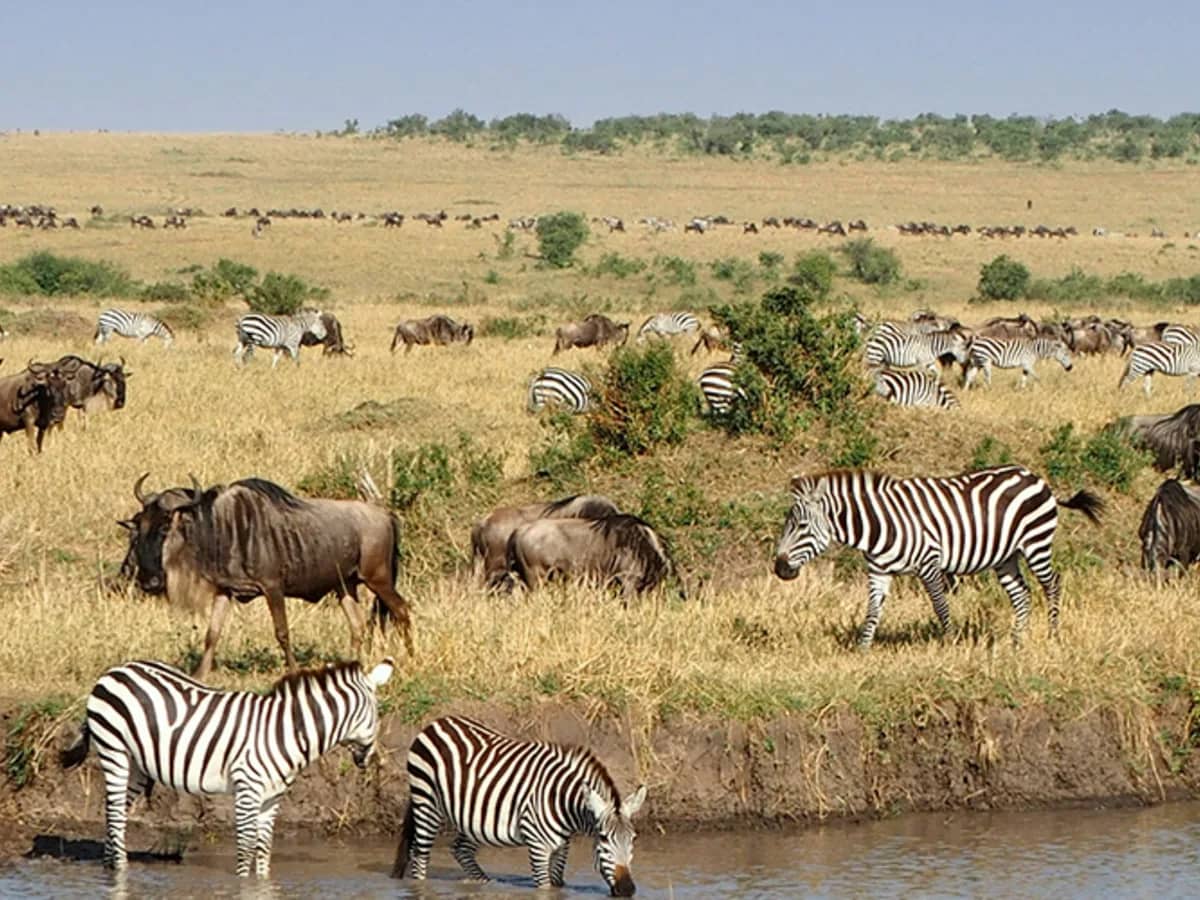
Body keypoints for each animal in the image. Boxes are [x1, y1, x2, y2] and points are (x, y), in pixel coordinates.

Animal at [59, 658, 394, 876]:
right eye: (377, 713)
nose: (370, 759)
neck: (285, 732)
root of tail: (115, 670)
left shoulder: (272, 797)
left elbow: (263, 849)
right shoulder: (248, 789)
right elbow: (245, 848)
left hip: (137, 765)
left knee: (115, 815)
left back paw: (112, 865)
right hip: (114, 750)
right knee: (115, 814)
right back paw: (121, 872)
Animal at [391, 715, 647, 896]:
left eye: (633, 839)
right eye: (603, 839)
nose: (627, 890)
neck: (563, 802)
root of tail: (436, 723)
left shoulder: (561, 847)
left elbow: (557, 884)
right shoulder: (537, 846)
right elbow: (545, 889)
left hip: (473, 818)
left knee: (460, 850)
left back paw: (485, 885)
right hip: (427, 802)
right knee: (420, 857)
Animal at [773, 465, 1103, 648]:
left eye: (801, 527)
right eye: (788, 525)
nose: (779, 568)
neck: (880, 524)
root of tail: (1035, 477)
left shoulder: (929, 564)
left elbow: (940, 607)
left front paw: (951, 643)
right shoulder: (879, 572)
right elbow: (872, 612)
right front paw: (862, 649)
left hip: (1036, 544)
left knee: (1052, 584)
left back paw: (1053, 635)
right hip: (1005, 557)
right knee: (1021, 595)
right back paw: (1016, 643)